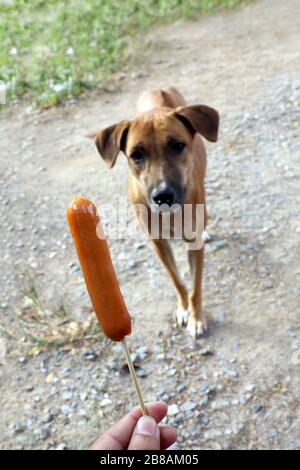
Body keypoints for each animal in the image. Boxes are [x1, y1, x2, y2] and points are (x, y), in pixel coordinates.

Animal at [92, 87, 219, 338]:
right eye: (136, 155)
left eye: (177, 146)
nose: (162, 196)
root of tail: (159, 90)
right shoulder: (158, 243)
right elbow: (177, 281)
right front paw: (183, 309)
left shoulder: (193, 244)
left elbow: (195, 287)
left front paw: (197, 318)